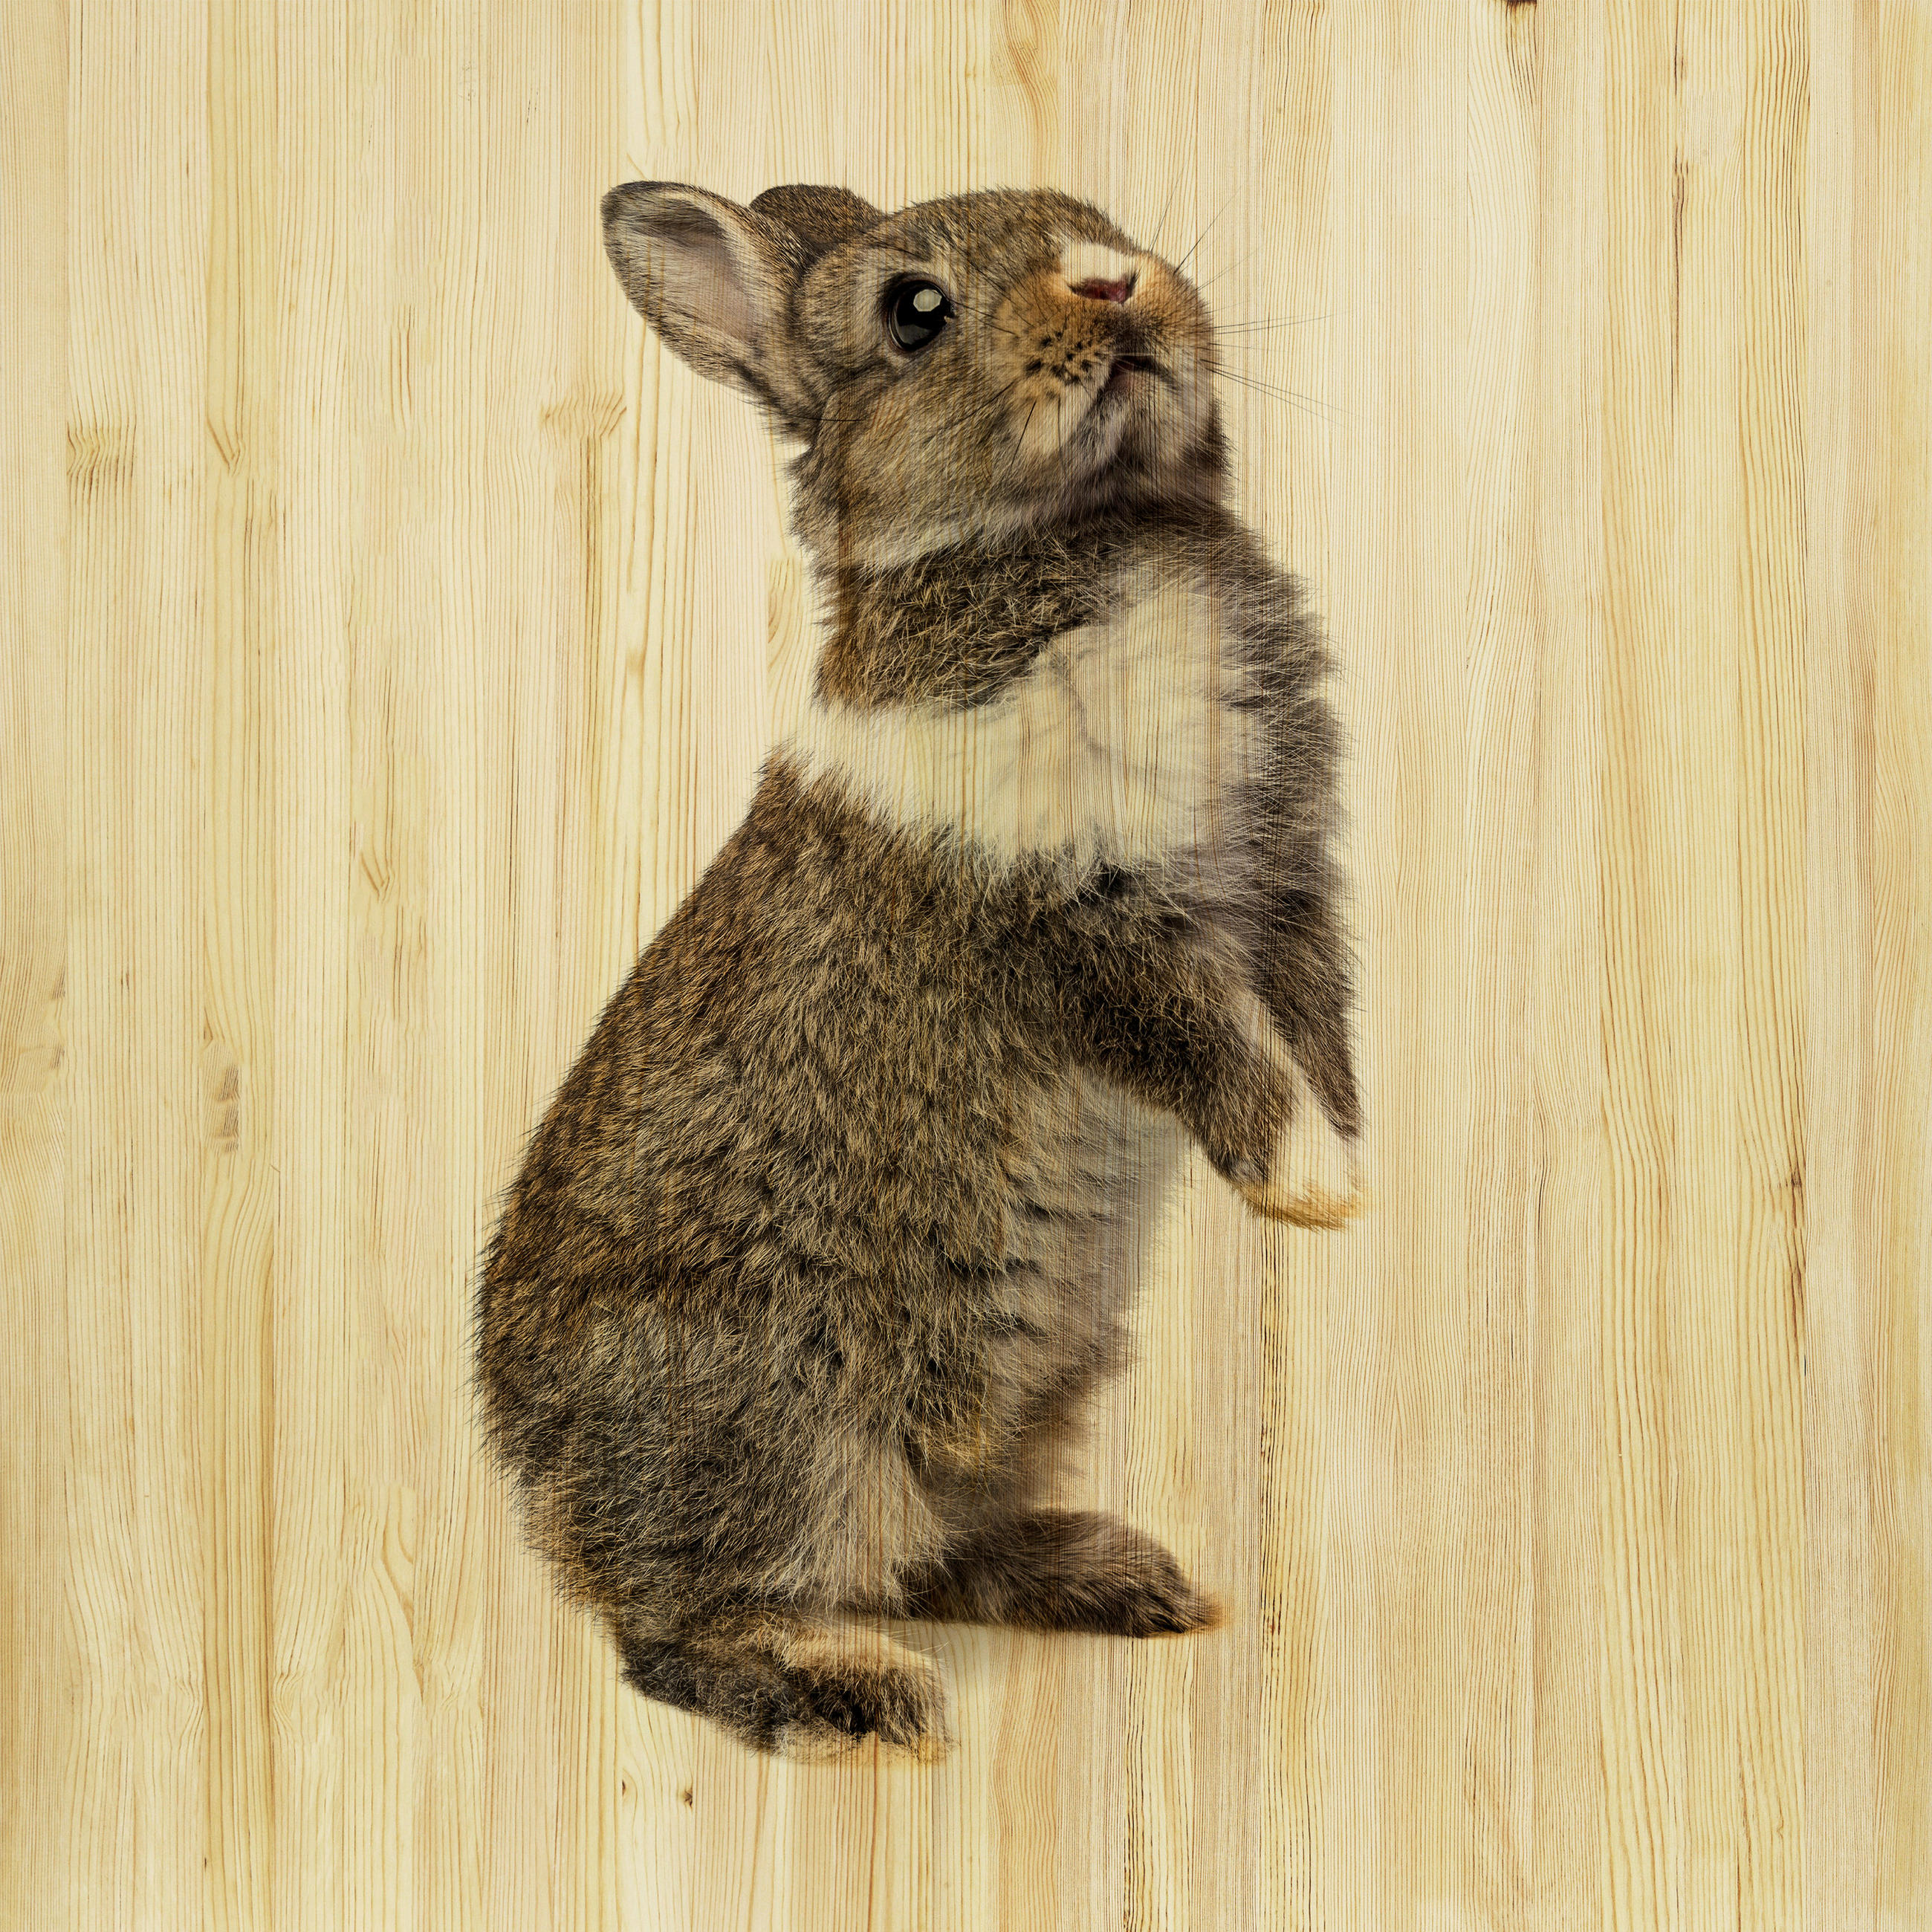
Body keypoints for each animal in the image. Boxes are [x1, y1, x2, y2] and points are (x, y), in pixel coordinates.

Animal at [475, 180, 1363, 1759]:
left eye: (1095, 214)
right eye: (914, 313)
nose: (1113, 282)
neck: (1089, 537)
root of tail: (536, 1477)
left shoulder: (1286, 885)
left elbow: (1312, 1019)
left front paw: (1355, 1161)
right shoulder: (1069, 928)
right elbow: (1213, 1046)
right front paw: (1319, 1188)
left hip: (1029, 1387)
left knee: (928, 1551)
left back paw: (1120, 1579)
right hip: (775, 1421)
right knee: (678, 1632)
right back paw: (859, 1695)